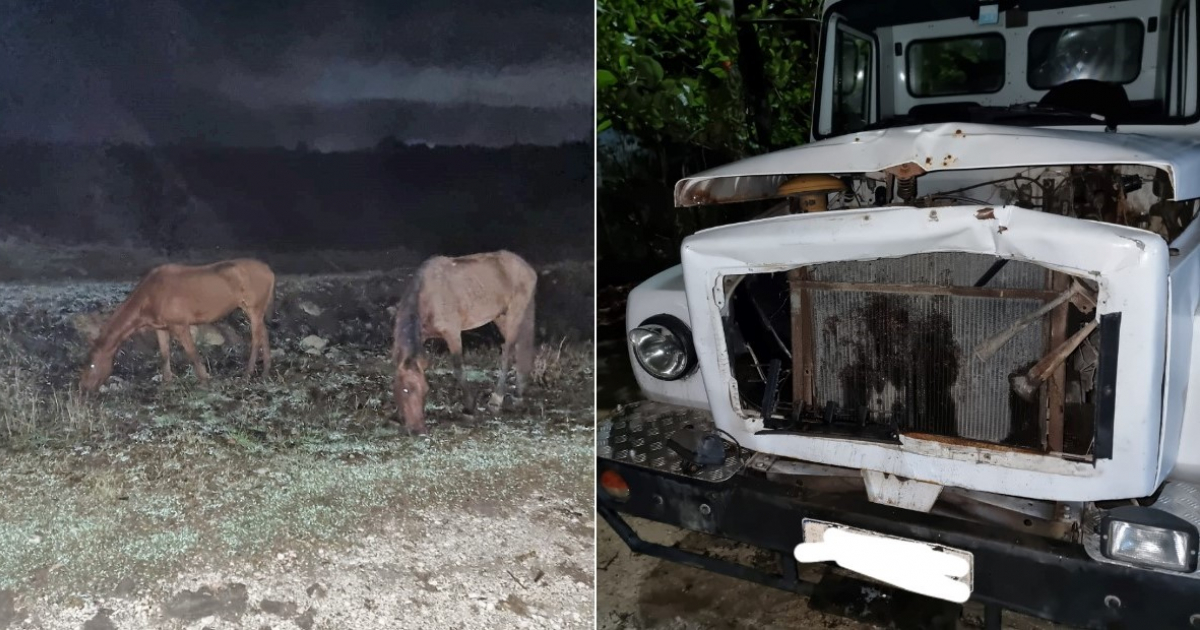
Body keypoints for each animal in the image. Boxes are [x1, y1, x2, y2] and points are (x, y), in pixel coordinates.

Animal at [79, 258, 276, 391]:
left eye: (92, 365)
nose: (83, 389)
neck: (149, 297)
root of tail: (269, 271)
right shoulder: (161, 328)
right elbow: (164, 355)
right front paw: (167, 384)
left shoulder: (180, 325)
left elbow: (192, 353)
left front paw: (205, 381)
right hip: (255, 310)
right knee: (264, 334)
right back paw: (266, 372)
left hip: (253, 309)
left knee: (256, 338)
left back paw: (247, 374)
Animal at [391, 249, 537, 432]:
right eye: (405, 390)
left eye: (424, 390)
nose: (418, 429)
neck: (427, 296)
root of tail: (528, 269)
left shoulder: (452, 333)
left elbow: (458, 369)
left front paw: (469, 408)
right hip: (501, 317)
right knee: (518, 348)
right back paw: (518, 392)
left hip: (515, 314)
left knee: (508, 353)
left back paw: (496, 399)